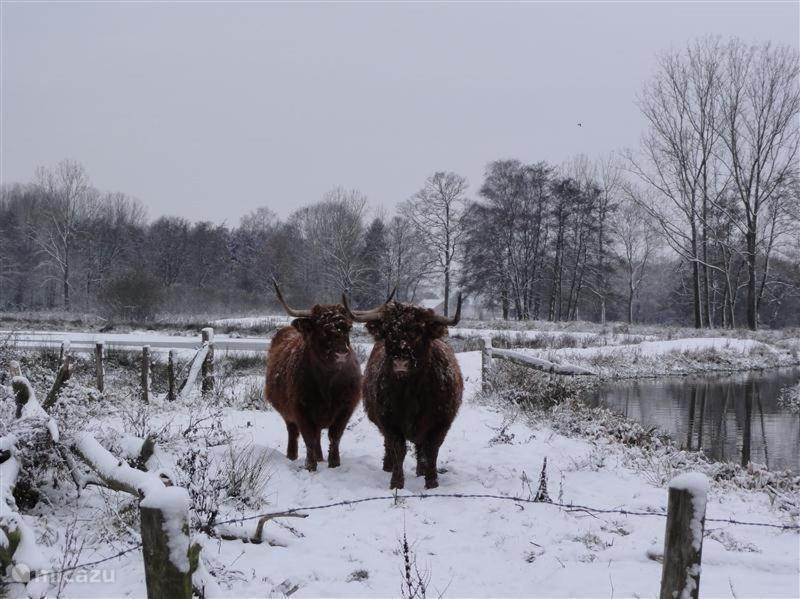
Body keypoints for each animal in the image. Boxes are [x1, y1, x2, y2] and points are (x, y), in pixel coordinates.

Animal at [264, 284, 360, 472]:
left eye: (348, 328)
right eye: (323, 329)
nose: (341, 353)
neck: (327, 382)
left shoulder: (345, 408)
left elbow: (335, 437)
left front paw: (334, 464)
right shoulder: (300, 409)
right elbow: (308, 438)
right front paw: (310, 466)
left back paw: (321, 458)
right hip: (287, 412)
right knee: (293, 432)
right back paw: (292, 456)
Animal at [344, 294, 462, 488]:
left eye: (418, 332)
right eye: (388, 332)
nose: (400, 362)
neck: (411, 391)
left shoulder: (440, 423)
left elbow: (431, 451)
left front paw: (432, 482)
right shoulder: (389, 421)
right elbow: (398, 449)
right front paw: (396, 483)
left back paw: (421, 471)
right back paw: (388, 466)